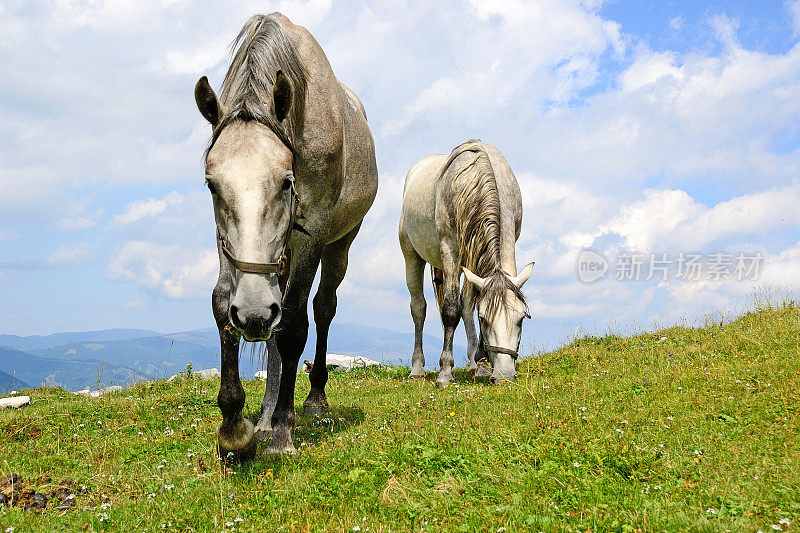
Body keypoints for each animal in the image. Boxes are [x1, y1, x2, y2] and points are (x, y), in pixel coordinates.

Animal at [196, 13, 378, 454]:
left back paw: (312, 399)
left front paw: (282, 431)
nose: (252, 312)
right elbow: (224, 306)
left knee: (322, 308)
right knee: (273, 331)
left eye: (285, 182)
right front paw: (236, 426)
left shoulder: (313, 233)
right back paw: (263, 415)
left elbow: (294, 321)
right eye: (212, 186)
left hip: (339, 244)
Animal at [398, 137, 536, 386]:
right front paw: (445, 373)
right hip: (411, 253)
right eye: (485, 319)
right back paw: (417, 369)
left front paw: (482, 365)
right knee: (419, 308)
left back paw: (475, 364)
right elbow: (451, 310)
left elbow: (469, 305)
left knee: (465, 304)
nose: (505, 375)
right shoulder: (450, 249)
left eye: (521, 319)